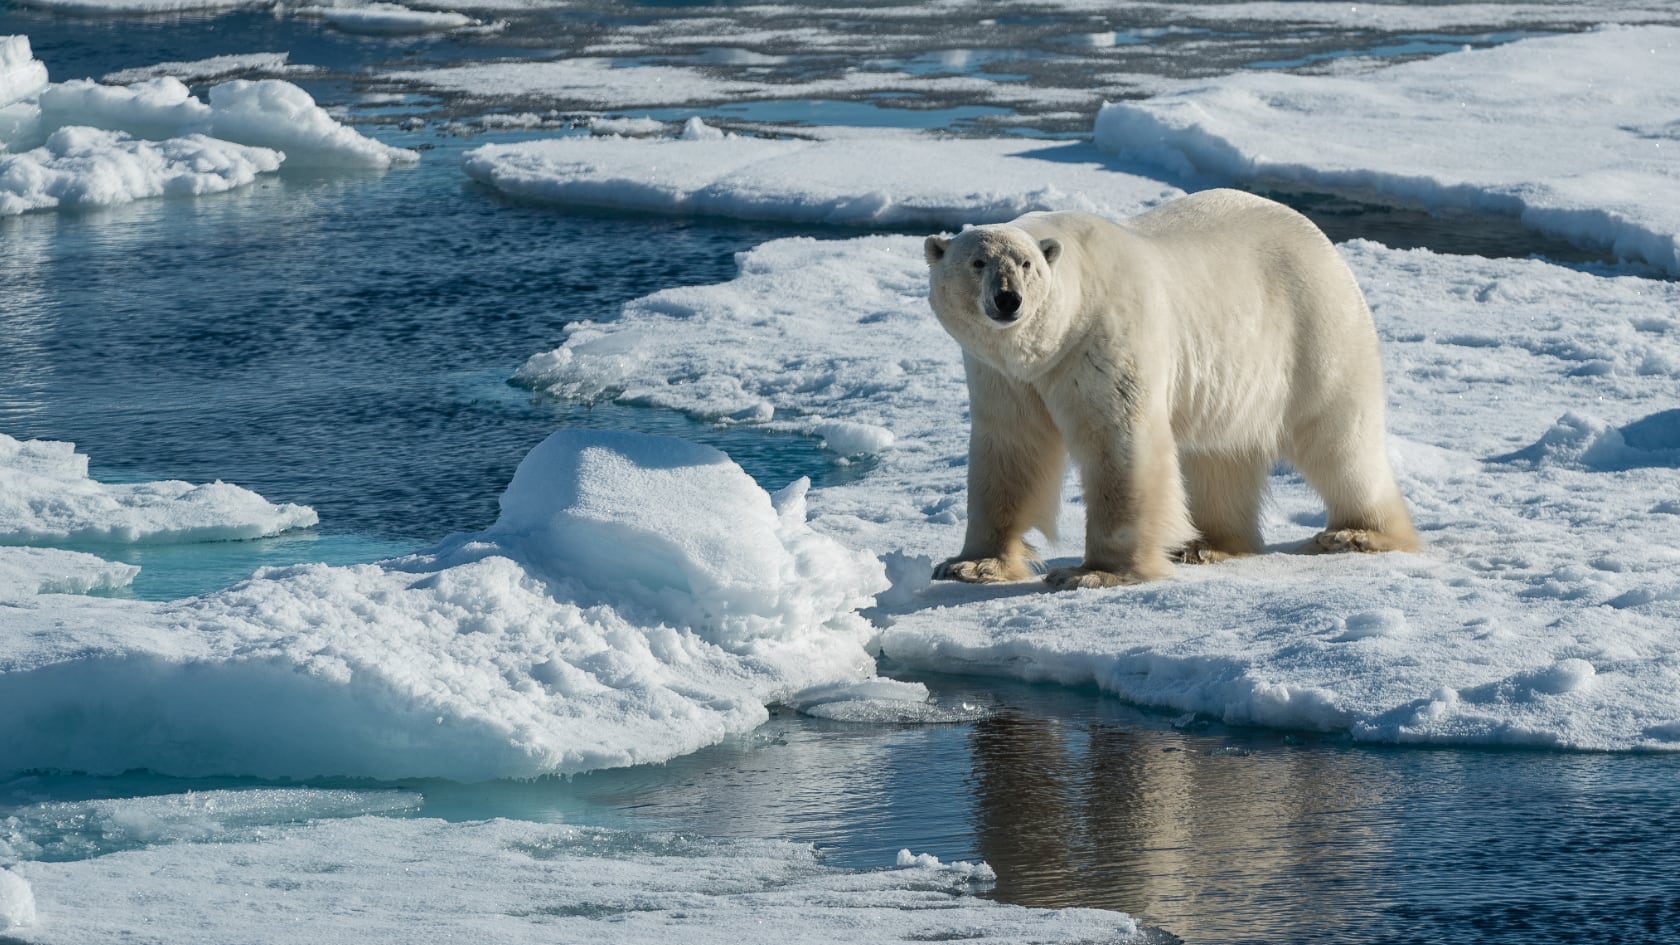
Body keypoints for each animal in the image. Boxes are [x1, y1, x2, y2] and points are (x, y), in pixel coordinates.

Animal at [923, 189, 1418, 590]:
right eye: (978, 263)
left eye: (1027, 265)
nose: (1008, 299)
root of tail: (1319, 239)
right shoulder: (1002, 376)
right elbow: (1011, 448)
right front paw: (971, 565)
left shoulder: (1103, 340)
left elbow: (1120, 445)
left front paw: (1095, 572)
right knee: (1221, 453)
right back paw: (1208, 544)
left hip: (1314, 329)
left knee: (1339, 439)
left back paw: (1356, 533)